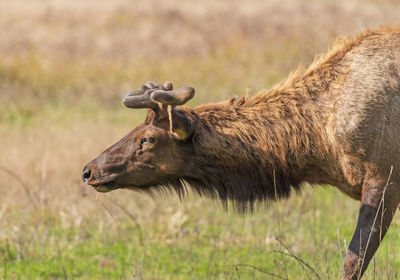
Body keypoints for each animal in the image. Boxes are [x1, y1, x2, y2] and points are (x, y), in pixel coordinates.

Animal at [83, 25, 400, 278]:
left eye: (148, 139)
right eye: (136, 127)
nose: (90, 170)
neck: (321, 144)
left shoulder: (384, 177)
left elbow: (354, 259)